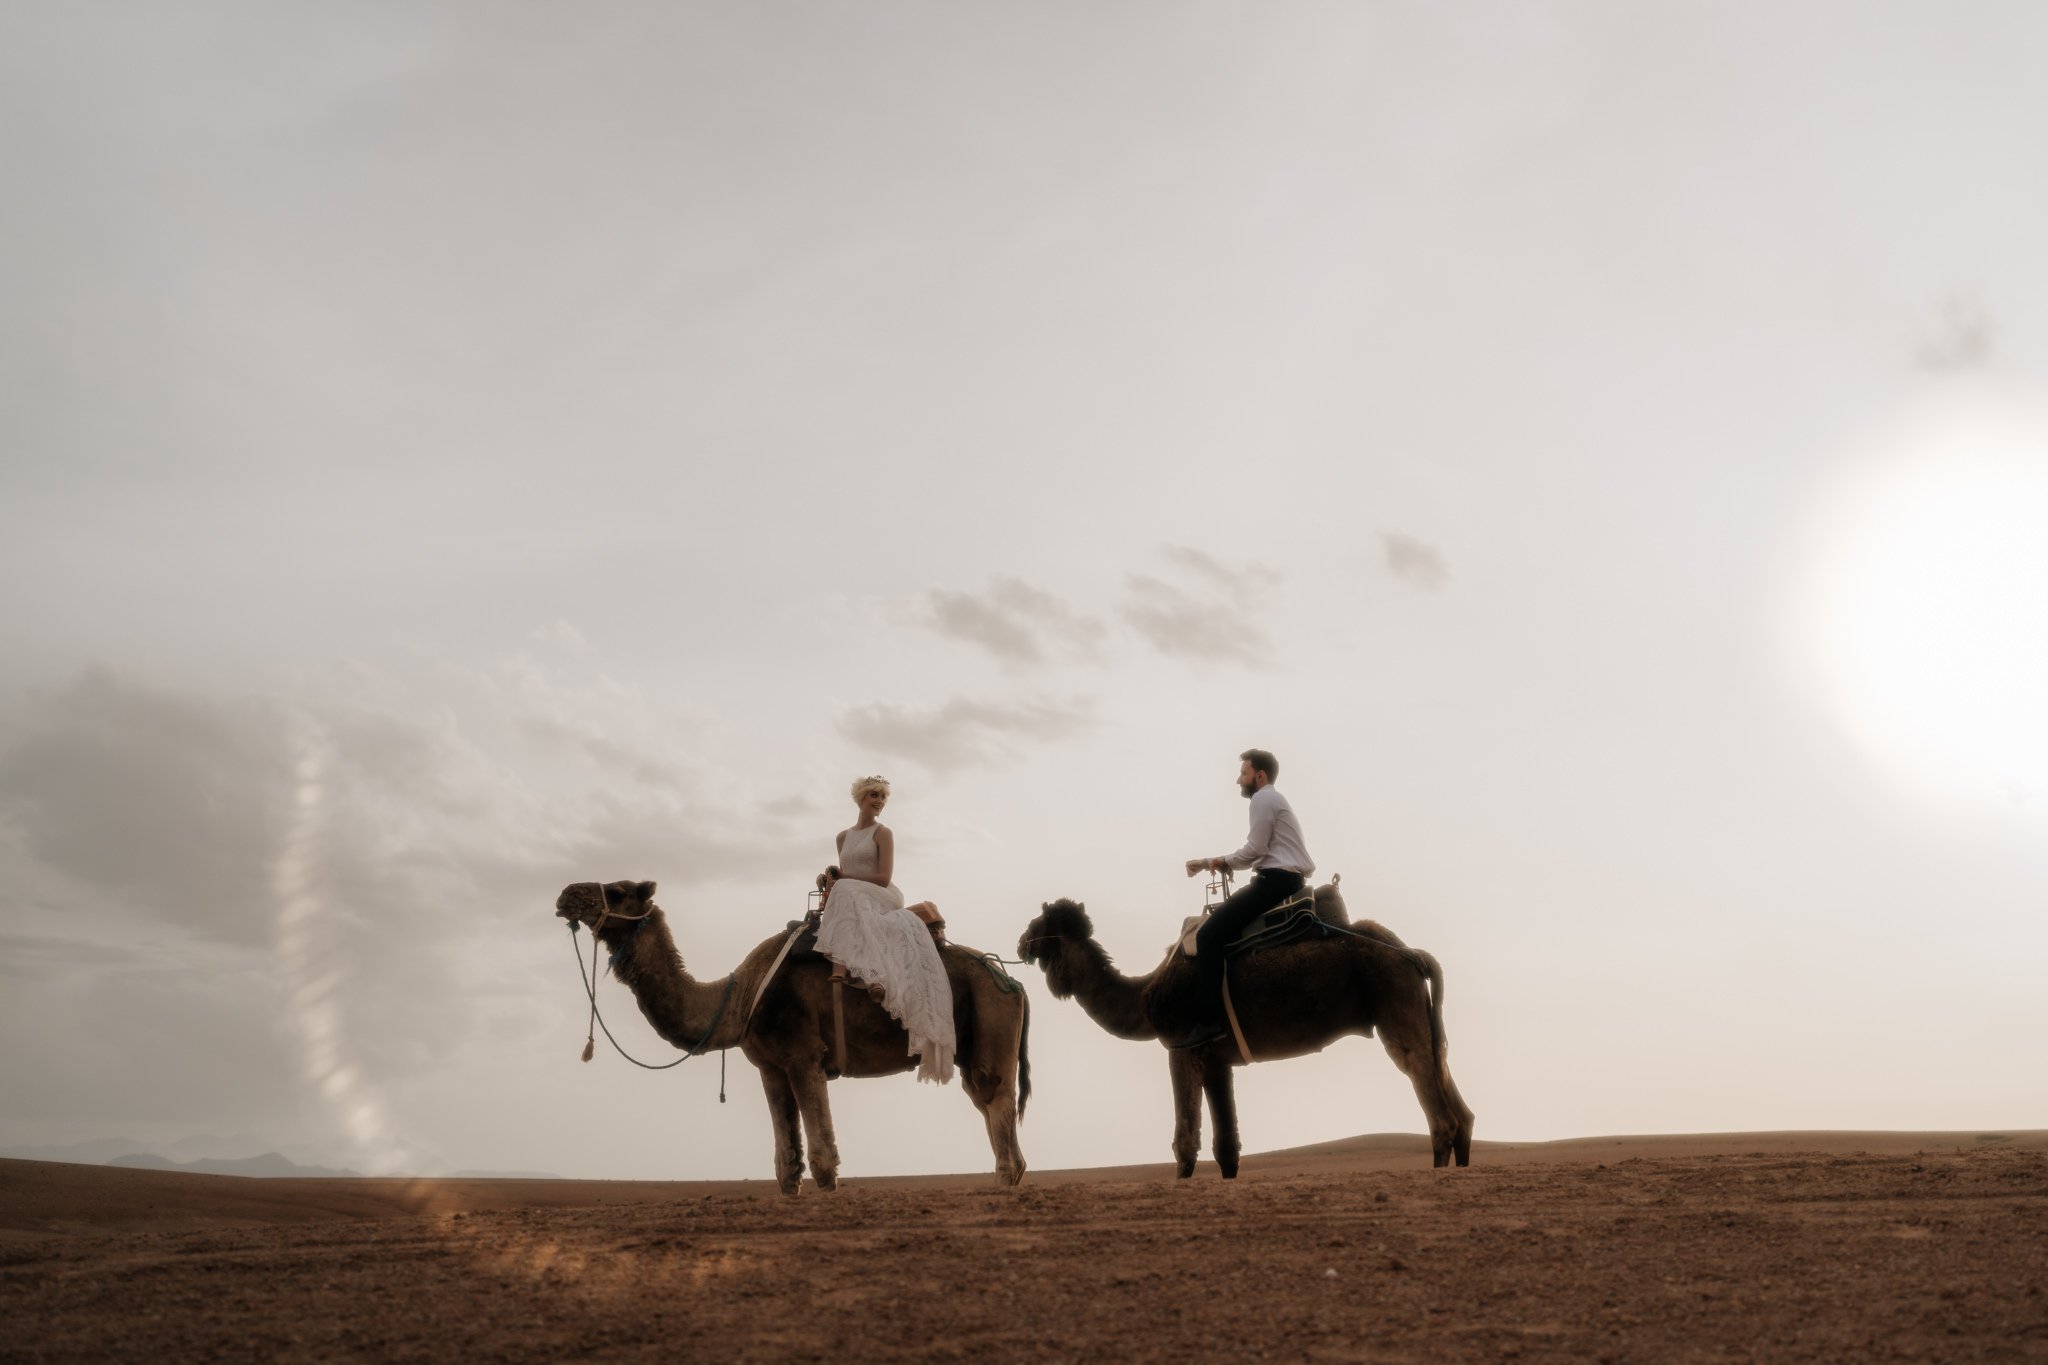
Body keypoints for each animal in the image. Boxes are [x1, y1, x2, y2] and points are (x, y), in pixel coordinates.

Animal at [557, 879, 1024, 1186]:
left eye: (619, 890)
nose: (566, 896)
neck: (740, 995)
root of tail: (1009, 979)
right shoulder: (770, 1066)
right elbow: (787, 1167)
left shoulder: (804, 1055)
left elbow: (822, 1160)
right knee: (990, 1110)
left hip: (991, 1020)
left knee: (996, 1103)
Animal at [1011, 888, 1474, 1178]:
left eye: (1037, 922)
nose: (1020, 943)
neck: (1145, 996)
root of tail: (1413, 954)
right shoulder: (1217, 1060)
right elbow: (1226, 1147)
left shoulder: (1182, 1045)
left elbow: (1185, 1142)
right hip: (1419, 1014)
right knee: (1459, 1107)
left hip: (1395, 1004)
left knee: (1437, 1110)